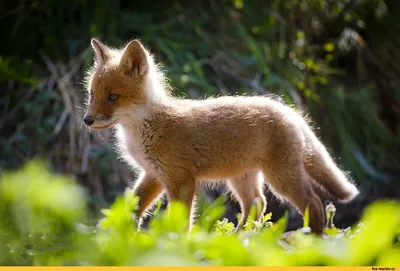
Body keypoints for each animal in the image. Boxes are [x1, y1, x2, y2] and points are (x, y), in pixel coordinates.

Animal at [83, 37, 360, 234]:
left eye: (113, 97)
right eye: (92, 94)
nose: (87, 120)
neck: (147, 129)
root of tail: (288, 109)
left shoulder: (181, 180)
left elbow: (181, 221)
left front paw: (174, 244)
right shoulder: (154, 174)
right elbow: (135, 206)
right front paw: (121, 235)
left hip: (281, 179)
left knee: (314, 203)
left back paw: (313, 241)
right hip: (241, 178)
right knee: (257, 203)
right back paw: (241, 238)